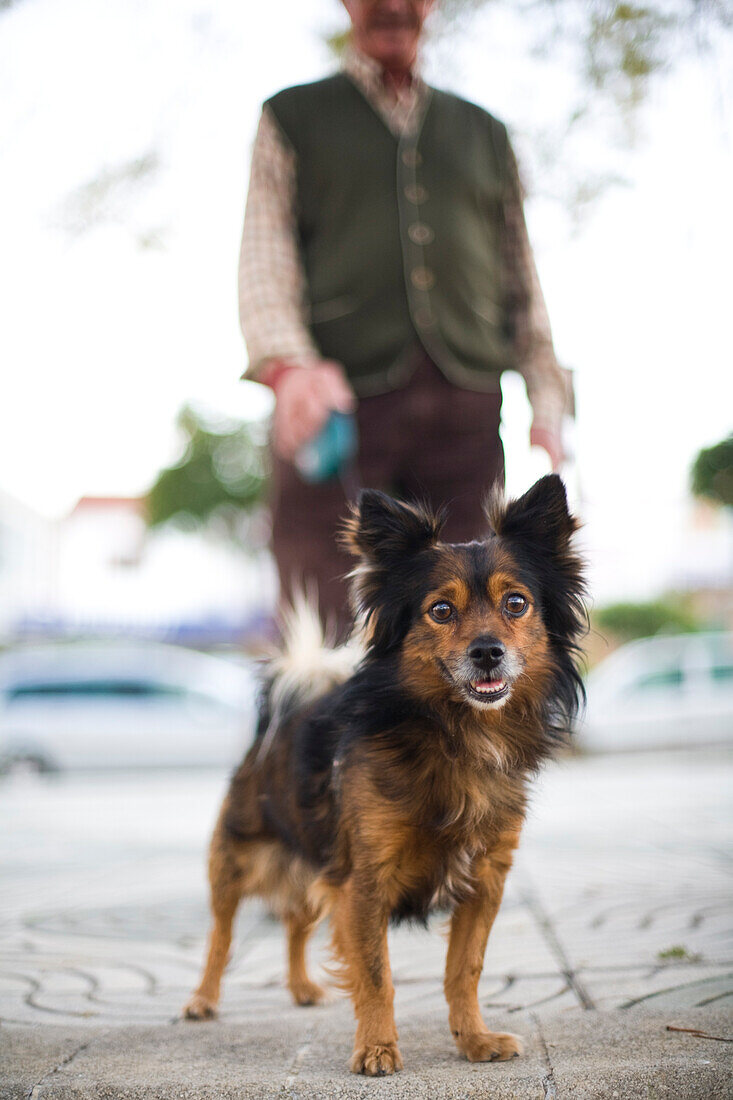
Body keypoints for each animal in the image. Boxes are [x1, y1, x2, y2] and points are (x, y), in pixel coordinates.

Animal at [182, 477, 581, 1078]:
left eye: (517, 604)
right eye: (440, 610)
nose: (488, 652)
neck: (457, 733)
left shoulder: (483, 880)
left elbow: (464, 970)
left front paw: (474, 1039)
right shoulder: (364, 881)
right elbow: (375, 974)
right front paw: (376, 1048)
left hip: (313, 865)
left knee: (297, 922)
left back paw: (301, 988)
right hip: (234, 863)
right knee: (221, 935)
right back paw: (203, 1000)